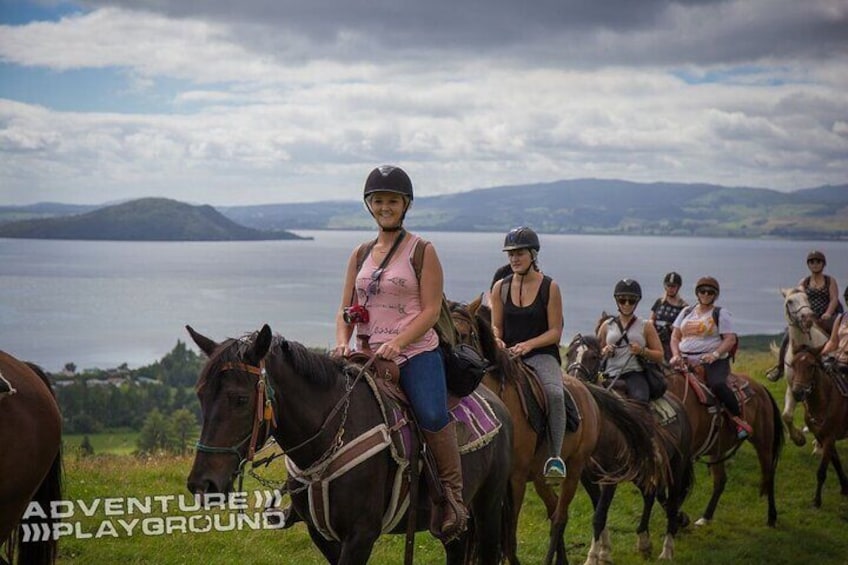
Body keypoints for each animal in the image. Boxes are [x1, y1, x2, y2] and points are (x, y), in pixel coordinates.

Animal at [188, 322, 512, 564]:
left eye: (240, 399)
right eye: (200, 395)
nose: (202, 484)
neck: (332, 435)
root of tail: (500, 408)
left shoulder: (361, 535)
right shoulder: (323, 535)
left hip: (489, 506)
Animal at [454, 298, 664, 560]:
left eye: (463, 334)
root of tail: (586, 390)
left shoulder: (515, 479)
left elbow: (509, 541)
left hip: (574, 469)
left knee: (559, 518)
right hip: (541, 476)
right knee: (554, 507)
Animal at [776, 288, 828, 448]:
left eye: (807, 297)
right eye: (790, 301)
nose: (808, 318)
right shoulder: (793, 387)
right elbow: (786, 415)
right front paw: (798, 438)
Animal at [788, 344, 848, 506]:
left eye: (812, 366)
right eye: (792, 364)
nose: (797, 393)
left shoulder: (829, 438)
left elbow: (821, 471)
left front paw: (817, 501)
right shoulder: (822, 436)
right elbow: (836, 462)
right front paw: (844, 487)